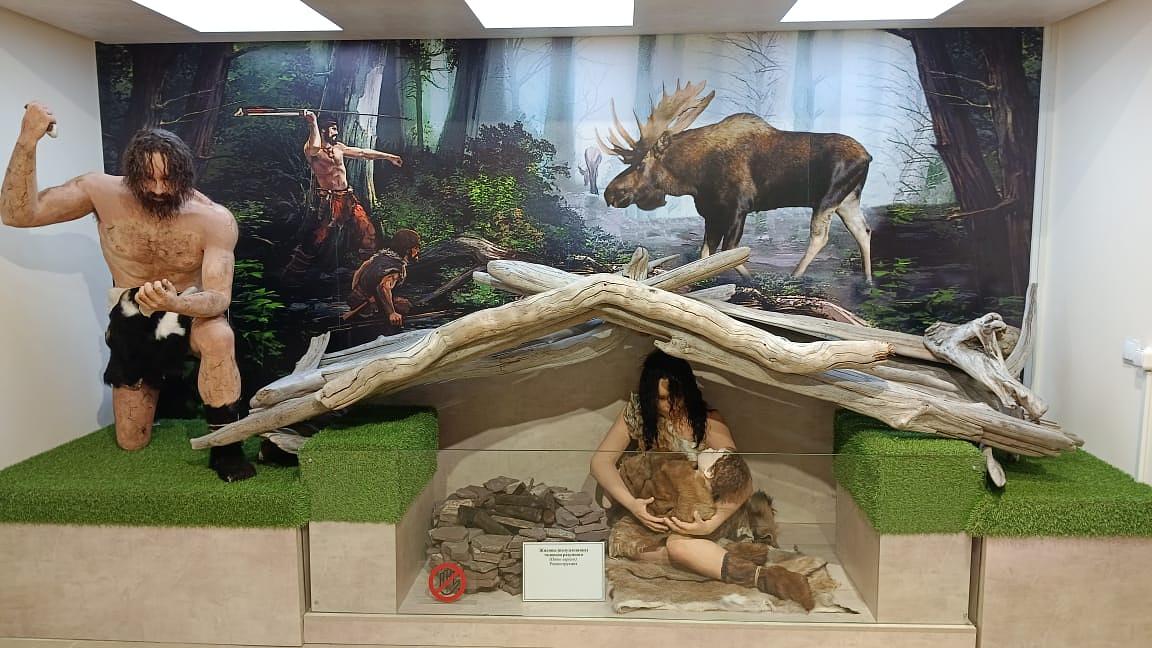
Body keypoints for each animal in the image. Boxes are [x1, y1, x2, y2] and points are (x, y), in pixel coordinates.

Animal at [597, 80, 874, 282]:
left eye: (640, 163)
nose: (610, 192)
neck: (695, 177)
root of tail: (867, 156)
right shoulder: (711, 213)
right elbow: (706, 254)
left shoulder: (737, 208)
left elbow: (730, 252)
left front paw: (752, 280)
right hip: (848, 200)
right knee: (863, 230)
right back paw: (868, 281)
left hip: (828, 199)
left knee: (820, 236)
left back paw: (794, 275)